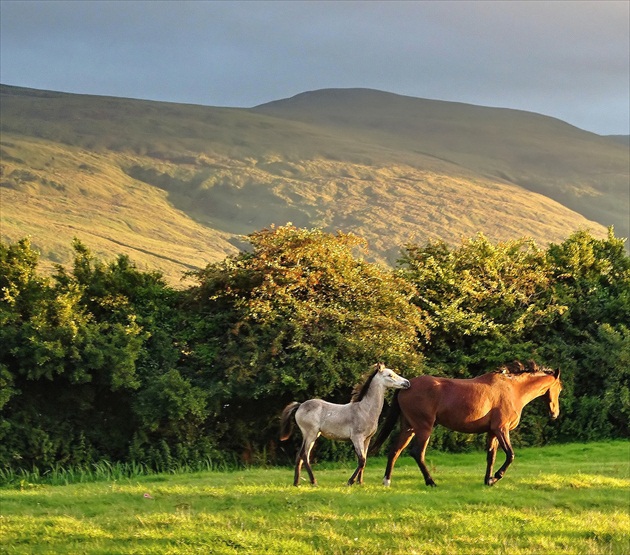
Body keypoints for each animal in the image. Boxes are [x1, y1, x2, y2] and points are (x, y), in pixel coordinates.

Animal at [370, 360, 564, 486]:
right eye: (560, 388)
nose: (554, 414)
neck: (512, 389)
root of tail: (407, 385)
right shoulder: (501, 429)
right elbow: (510, 455)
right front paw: (496, 477)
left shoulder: (492, 432)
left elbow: (491, 456)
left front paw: (488, 480)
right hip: (423, 428)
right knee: (417, 453)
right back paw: (431, 482)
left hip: (409, 428)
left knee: (395, 451)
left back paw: (387, 481)